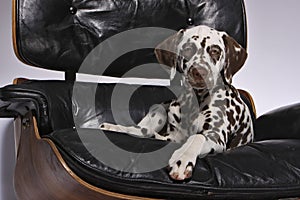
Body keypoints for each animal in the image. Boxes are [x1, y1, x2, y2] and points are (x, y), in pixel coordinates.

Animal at [100, 25, 253, 181]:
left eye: (215, 51)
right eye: (188, 49)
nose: (200, 72)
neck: (195, 102)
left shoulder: (216, 136)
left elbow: (196, 137)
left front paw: (183, 159)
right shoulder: (174, 136)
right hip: (159, 110)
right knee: (143, 130)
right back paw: (112, 127)